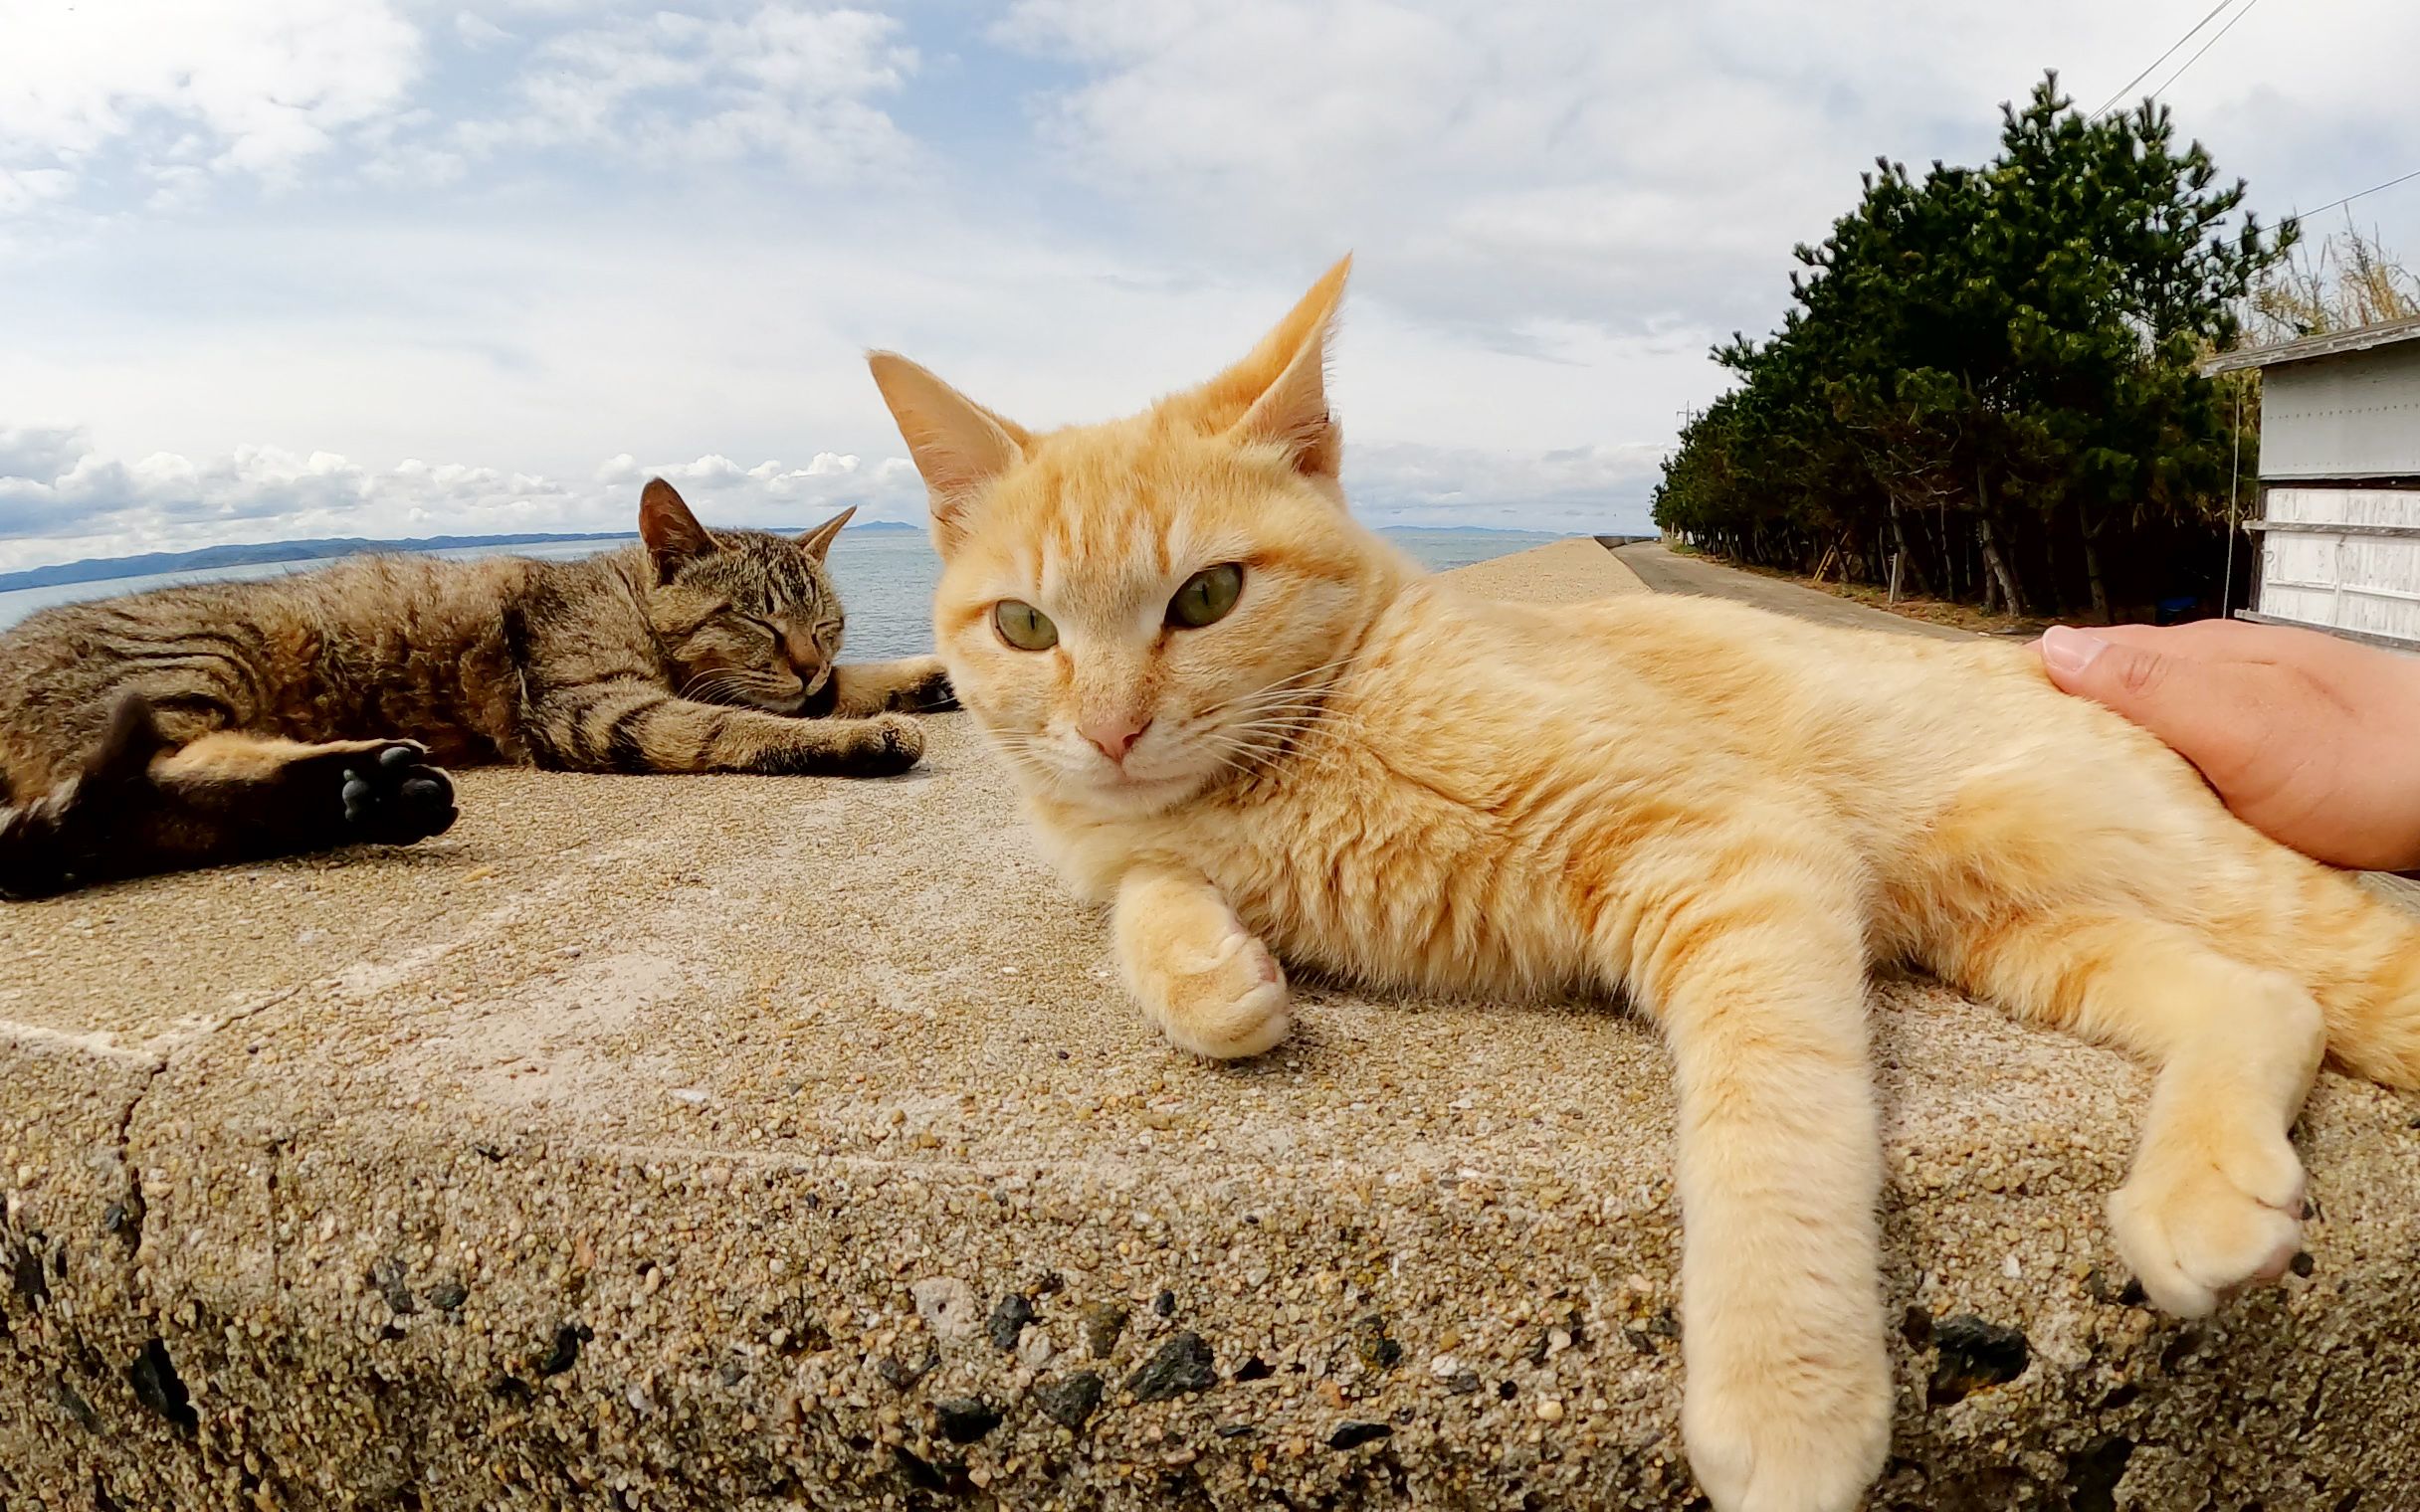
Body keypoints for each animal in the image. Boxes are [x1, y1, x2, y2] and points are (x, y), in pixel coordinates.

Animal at [0, 480, 943, 894]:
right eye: (756, 622)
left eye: (828, 625)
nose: (806, 661)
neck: (621, 594)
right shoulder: (590, 707)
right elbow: (736, 727)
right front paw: (851, 735)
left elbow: (840, 686)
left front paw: (918, 676)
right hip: (197, 662)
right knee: (127, 793)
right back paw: (355, 779)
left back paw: (367, 794)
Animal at [871, 262, 2420, 1509]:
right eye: (1024, 626)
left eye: (1205, 597)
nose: (1112, 730)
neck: (1292, 764)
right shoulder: (1135, 849)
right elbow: (1143, 897)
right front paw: (1215, 977)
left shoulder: (1738, 855)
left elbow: (1769, 1130)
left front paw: (1788, 1399)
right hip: (2030, 936)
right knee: (2267, 1001)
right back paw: (2207, 1199)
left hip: (2176, 880)